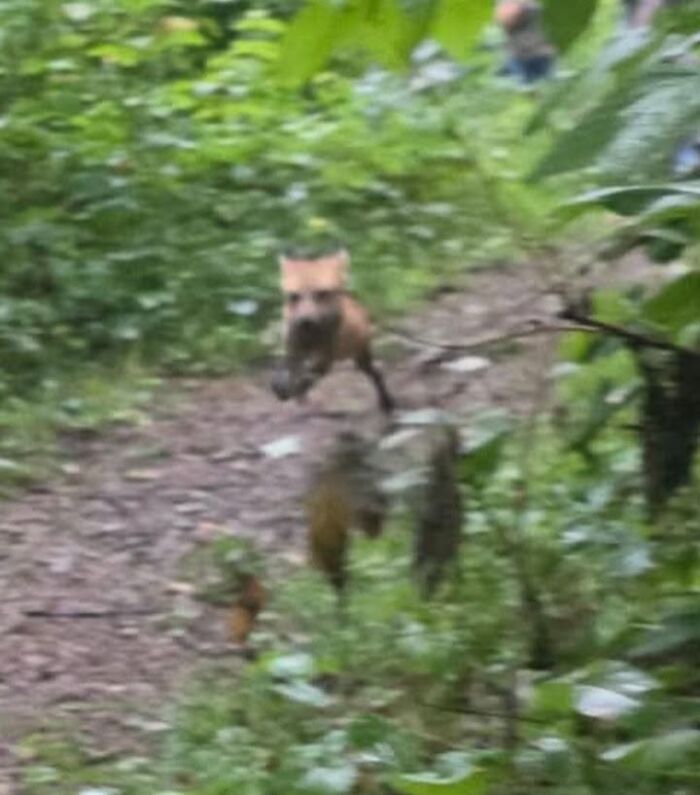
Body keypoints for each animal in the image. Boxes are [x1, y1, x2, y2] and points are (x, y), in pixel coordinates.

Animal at [270, 248, 394, 414]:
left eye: (322, 294)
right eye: (294, 296)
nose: (305, 321)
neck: (311, 338)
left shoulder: (325, 358)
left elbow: (304, 382)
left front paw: (293, 393)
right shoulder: (293, 350)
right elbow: (285, 375)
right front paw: (285, 390)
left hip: (361, 358)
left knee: (376, 374)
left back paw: (386, 402)